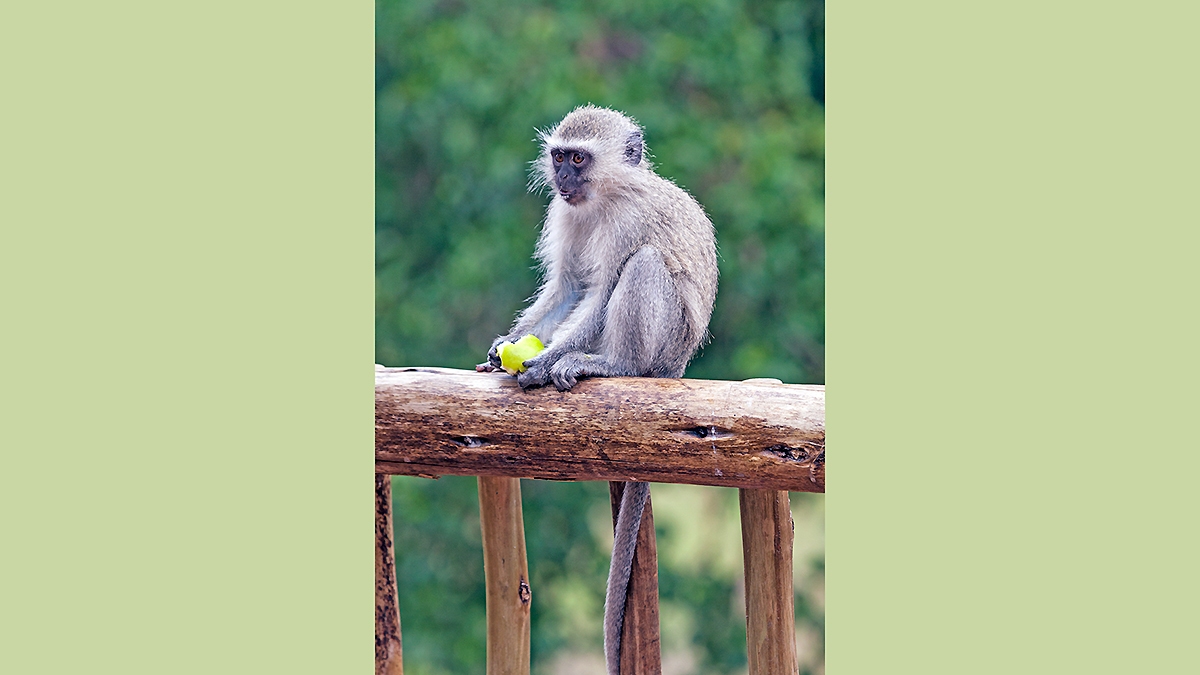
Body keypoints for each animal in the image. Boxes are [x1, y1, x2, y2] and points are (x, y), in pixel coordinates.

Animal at [478, 105, 718, 674]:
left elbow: (602, 289)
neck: (605, 196)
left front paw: (543, 361)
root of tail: (677, 365)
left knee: (644, 265)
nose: (562, 178)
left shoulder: (627, 222)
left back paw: (607, 364)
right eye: (560, 156)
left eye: (580, 159)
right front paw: (504, 348)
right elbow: (567, 286)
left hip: (663, 343)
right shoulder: (565, 215)